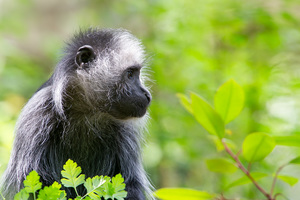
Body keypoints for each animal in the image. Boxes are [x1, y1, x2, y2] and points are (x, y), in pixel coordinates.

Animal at [0, 28, 154, 200]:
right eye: (130, 74)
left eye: (137, 74)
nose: (147, 95)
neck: (87, 113)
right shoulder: (37, 114)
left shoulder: (125, 129)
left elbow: (129, 184)